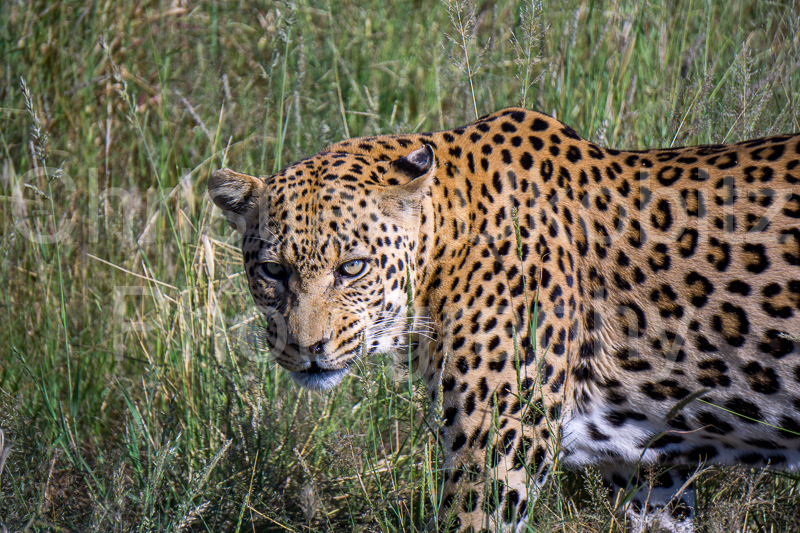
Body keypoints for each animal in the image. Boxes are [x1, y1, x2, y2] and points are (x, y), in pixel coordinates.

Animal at [208, 107, 800, 532]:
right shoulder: (651, 467)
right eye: (272, 270)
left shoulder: (498, 452)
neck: (446, 241)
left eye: (352, 267)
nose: (306, 349)